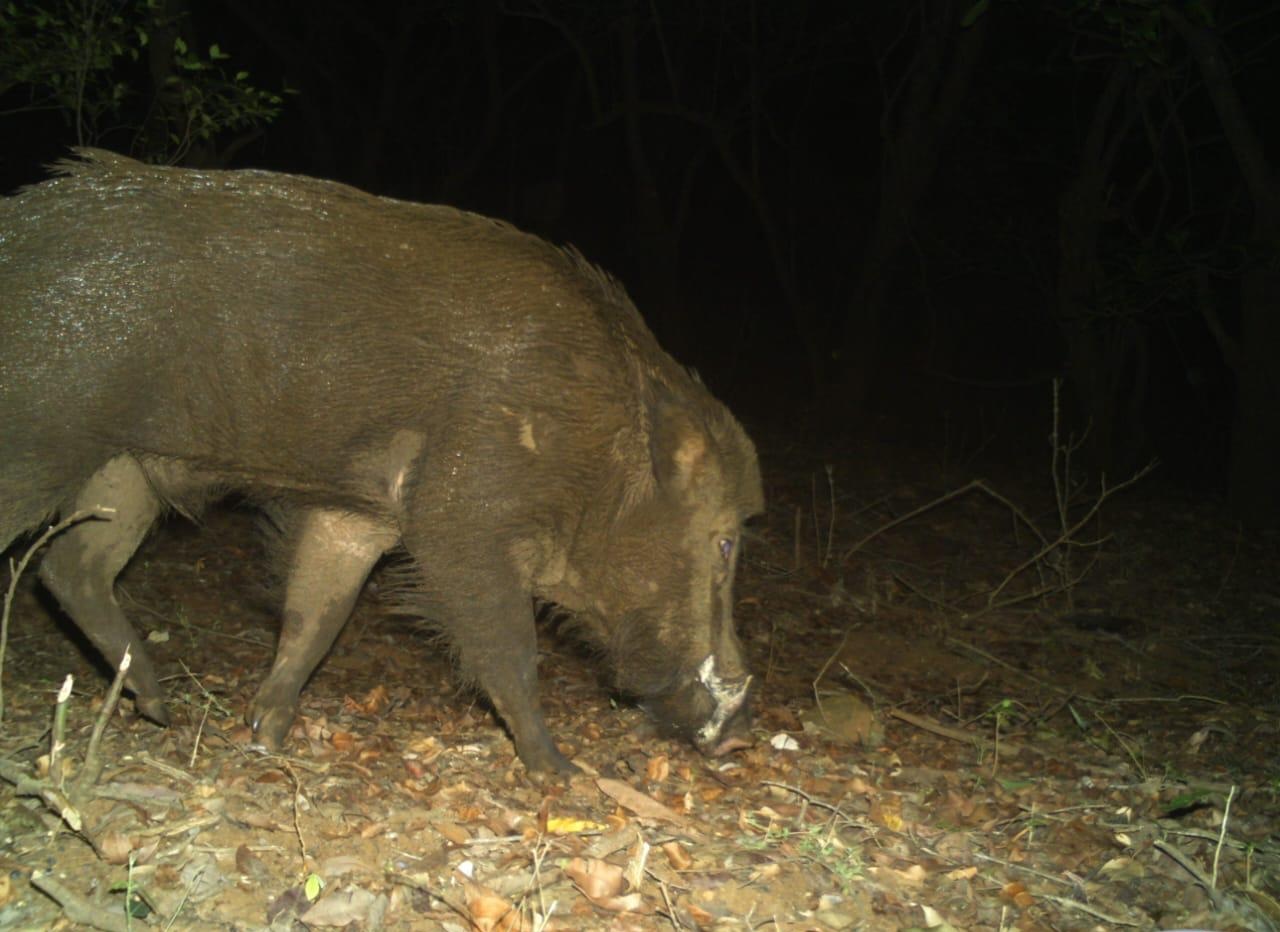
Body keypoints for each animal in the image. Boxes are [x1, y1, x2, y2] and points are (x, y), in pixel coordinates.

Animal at [0, 149, 763, 773]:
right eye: (725, 542)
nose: (736, 733)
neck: (596, 449)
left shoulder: (357, 515)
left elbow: (317, 612)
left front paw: (265, 737)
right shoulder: (460, 516)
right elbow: (509, 645)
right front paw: (561, 773)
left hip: (124, 470)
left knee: (71, 568)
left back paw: (159, 710)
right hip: (41, 438)